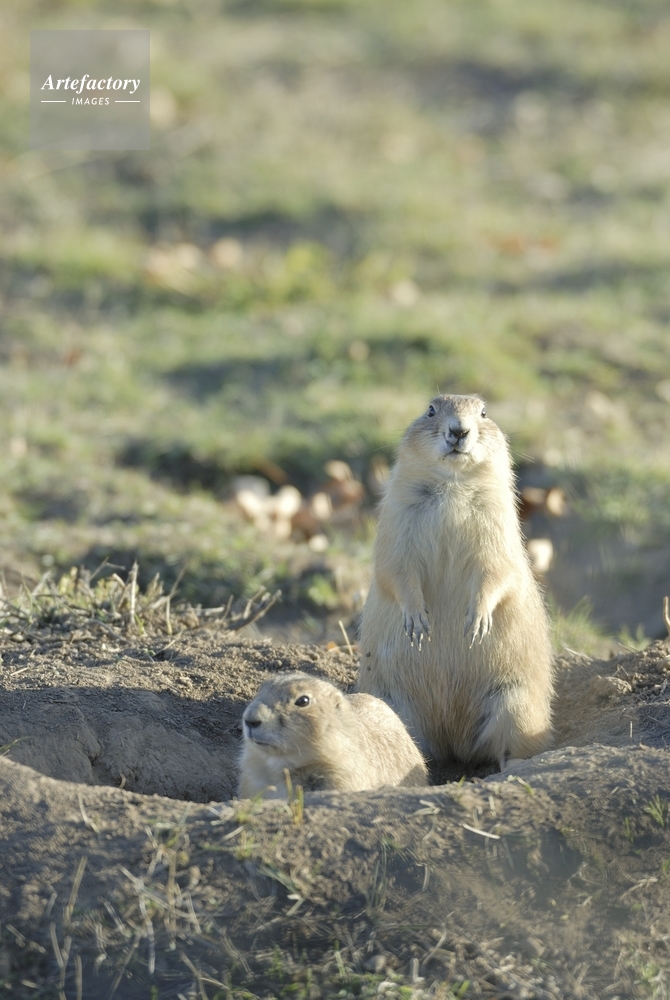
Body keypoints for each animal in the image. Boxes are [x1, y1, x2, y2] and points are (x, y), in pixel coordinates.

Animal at [357, 393, 553, 770]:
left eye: (484, 412)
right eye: (430, 410)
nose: (459, 430)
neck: (452, 485)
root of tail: (454, 741)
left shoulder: (498, 524)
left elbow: (496, 569)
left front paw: (476, 623)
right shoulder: (396, 521)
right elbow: (396, 569)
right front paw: (418, 623)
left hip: (517, 705)